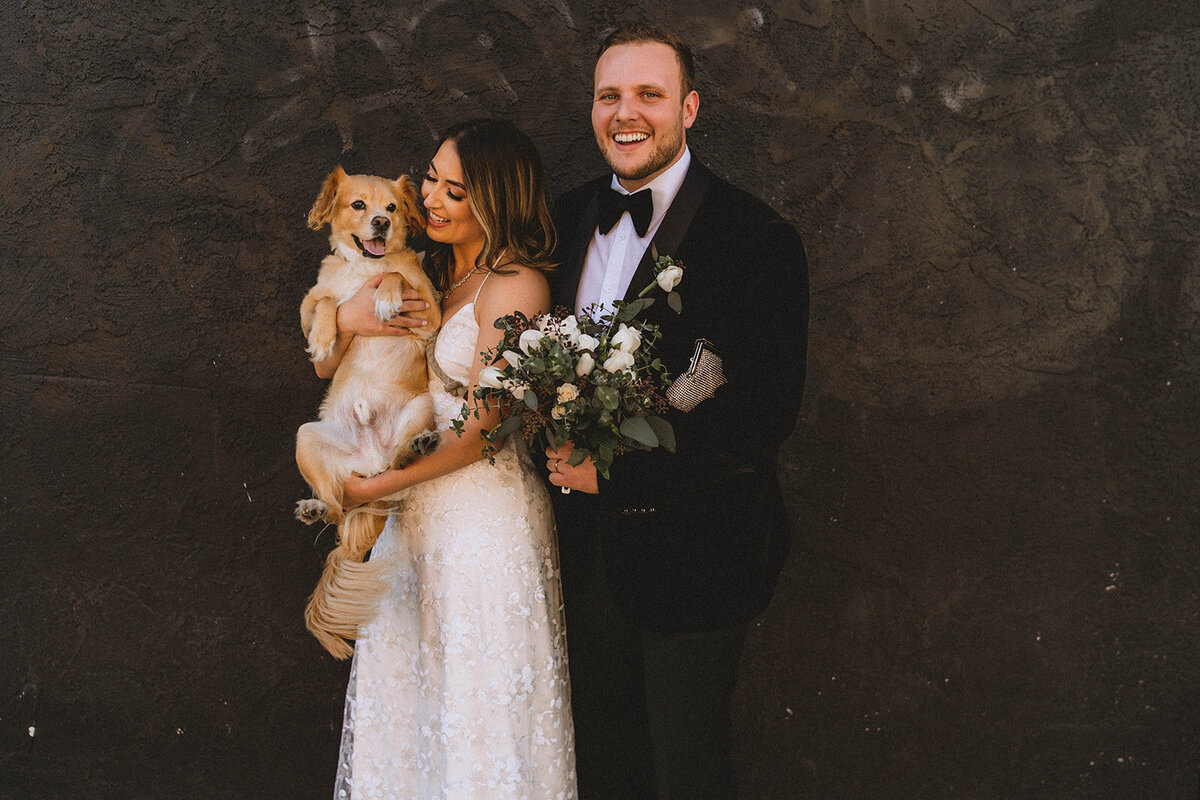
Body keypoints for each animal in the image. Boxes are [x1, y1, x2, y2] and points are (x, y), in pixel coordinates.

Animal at [292, 165, 444, 662]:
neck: (364, 266)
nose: (381, 222)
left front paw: (385, 297)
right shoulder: (307, 306)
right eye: (359, 205)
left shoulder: (429, 312)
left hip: (422, 407)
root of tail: (371, 462)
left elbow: (397, 272)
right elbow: (327, 303)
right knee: (339, 507)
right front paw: (324, 339)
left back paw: (415, 448)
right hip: (307, 437)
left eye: (392, 208)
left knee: (400, 470)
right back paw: (316, 507)